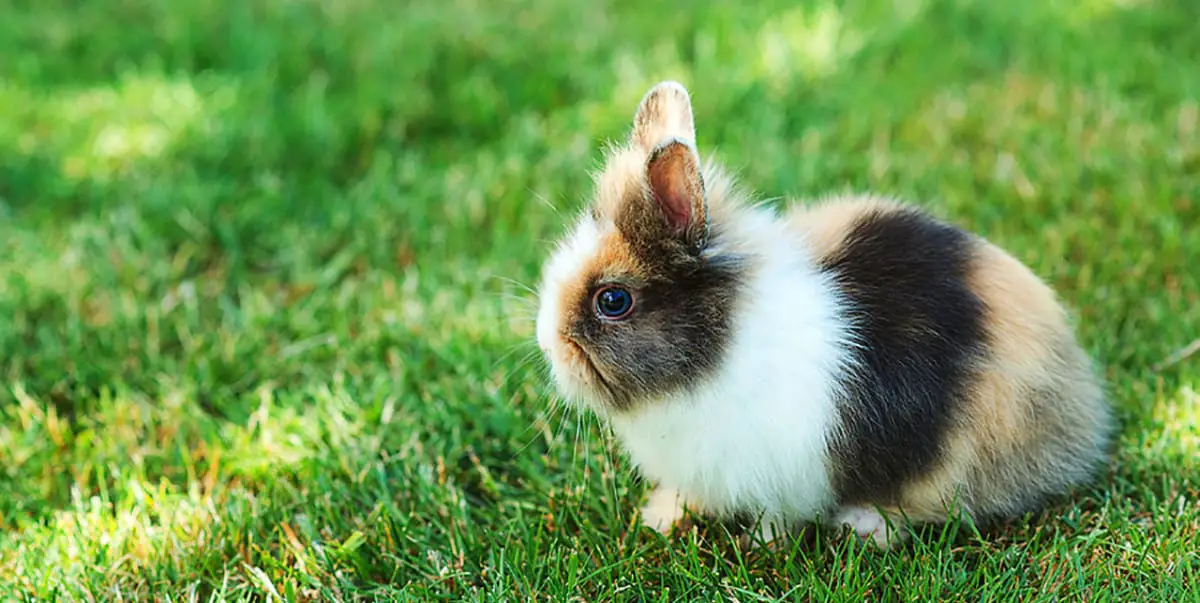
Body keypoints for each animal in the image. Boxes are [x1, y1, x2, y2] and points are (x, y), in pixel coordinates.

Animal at [533, 80, 1113, 549]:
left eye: (613, 301)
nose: (547, 342)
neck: (721, 347)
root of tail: (1080, 403)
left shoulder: (781, 473)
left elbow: (776, 516)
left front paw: (758, 545)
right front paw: (658, 518)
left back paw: (864, 526)